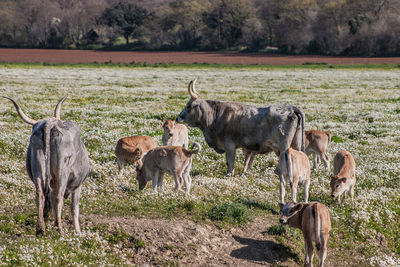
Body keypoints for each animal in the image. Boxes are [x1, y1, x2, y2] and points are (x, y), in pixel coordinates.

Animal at [1, 96, 89, 237]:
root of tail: (49, 123)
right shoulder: (78, 185)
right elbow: (74, 209)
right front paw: (78, 231)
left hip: (37, 168)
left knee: (40, 195)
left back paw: (41, 228)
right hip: (62, 172)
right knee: (58, 197)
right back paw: (59, 228)